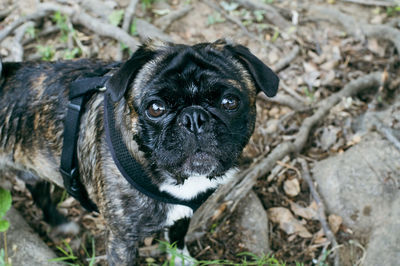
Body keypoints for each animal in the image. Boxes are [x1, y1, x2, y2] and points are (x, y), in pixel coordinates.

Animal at [0, 40, 278, 266]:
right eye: (155, 108)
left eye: (230, 102)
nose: (194, 118)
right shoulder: (122, 241)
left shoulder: (182, 213)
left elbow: (177, 237)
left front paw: (181, 259)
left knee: (39, 194)